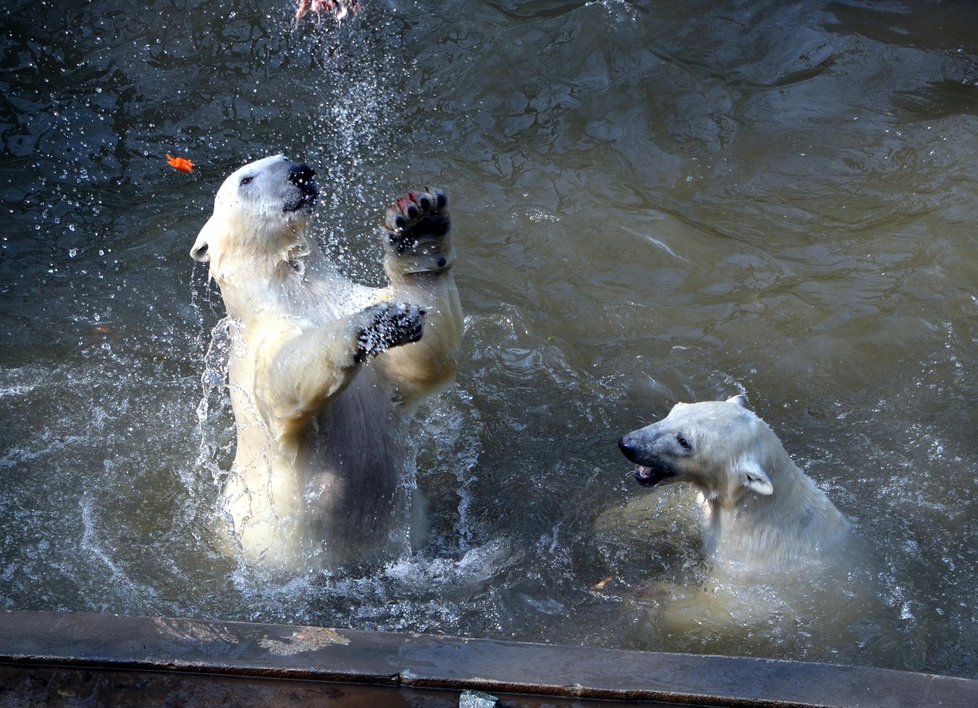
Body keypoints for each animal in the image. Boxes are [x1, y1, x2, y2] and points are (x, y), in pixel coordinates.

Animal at [194, 155, 466, 568]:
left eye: (284, 157)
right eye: (247, 179)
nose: (300, 172)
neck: (297, 290)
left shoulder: (349, 297)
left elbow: (424, 357)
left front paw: (420, 223)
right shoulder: (258, 347)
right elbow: (285, 378)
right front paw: (371, 325)